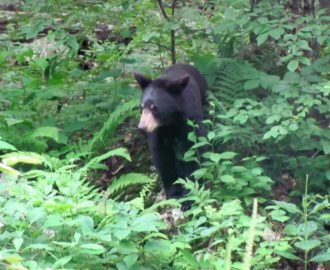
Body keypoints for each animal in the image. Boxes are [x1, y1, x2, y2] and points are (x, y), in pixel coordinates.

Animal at [133, 63, 206, 198]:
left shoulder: (189, 120)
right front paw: (174, 192)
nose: (142, 128)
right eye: (142, 107)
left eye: (154, 108)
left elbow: (194, 148)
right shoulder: (157, 132)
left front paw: (190, 192)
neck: (169, 121)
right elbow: (162, 157)